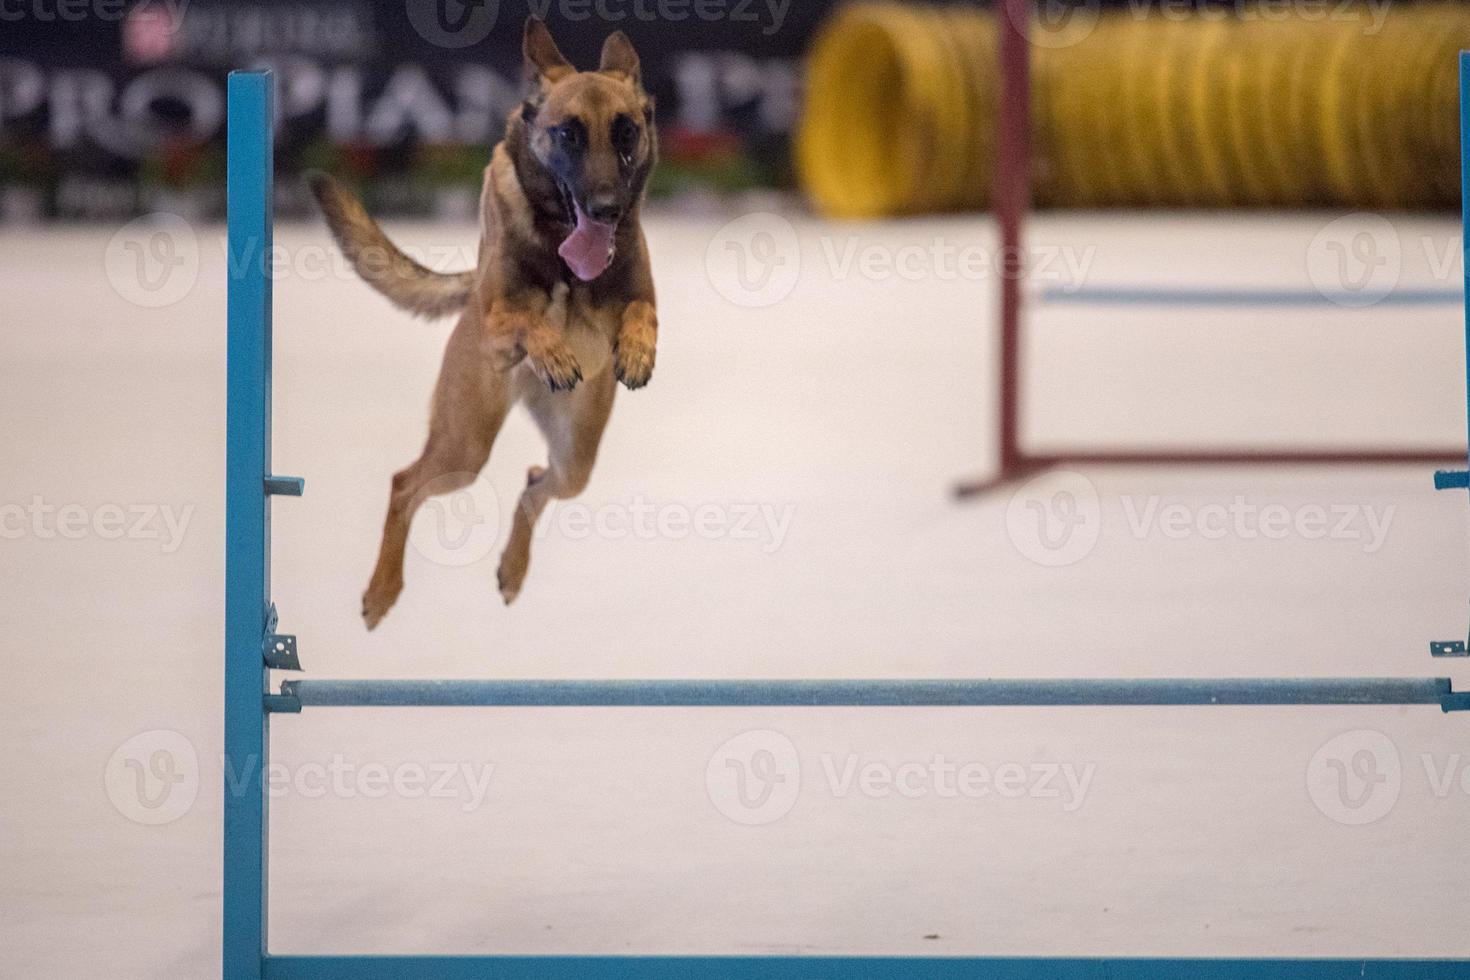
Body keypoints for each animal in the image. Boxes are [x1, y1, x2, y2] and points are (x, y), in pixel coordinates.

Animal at [311, 17, 661, 628]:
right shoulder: (498, 317)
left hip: (574, 457)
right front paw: (551, 346)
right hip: (464, 446)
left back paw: (513, 570)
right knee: (404, 486)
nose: (606, 208)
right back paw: (383, 590)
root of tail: (526, 393)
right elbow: (527, 320)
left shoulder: (643, 294)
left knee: (536, 483)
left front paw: (638, 349)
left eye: (625, 132)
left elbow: (641, 310)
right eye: (568, 134)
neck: (559, 238)